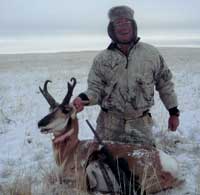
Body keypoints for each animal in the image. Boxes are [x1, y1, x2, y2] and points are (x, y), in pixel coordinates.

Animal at [37, 77, 183, 193]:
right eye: (50, 109)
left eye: (65, 110)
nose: (40, 123)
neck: (73, 149)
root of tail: (170, 164)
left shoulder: (80, 183)